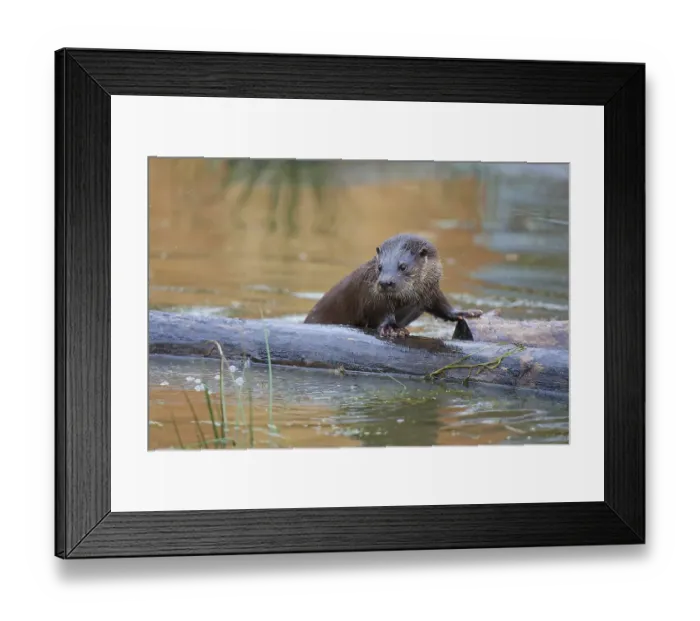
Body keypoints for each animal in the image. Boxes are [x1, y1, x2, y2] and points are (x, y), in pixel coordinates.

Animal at [303, 233, 483, 340]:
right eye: (380, 266)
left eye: (403, 266)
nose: (385, 282)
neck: (409, 300)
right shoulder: (372, 298)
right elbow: (380, 313)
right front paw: (392, 328)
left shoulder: (431, 291)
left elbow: (442, 306)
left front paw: (467, 313)